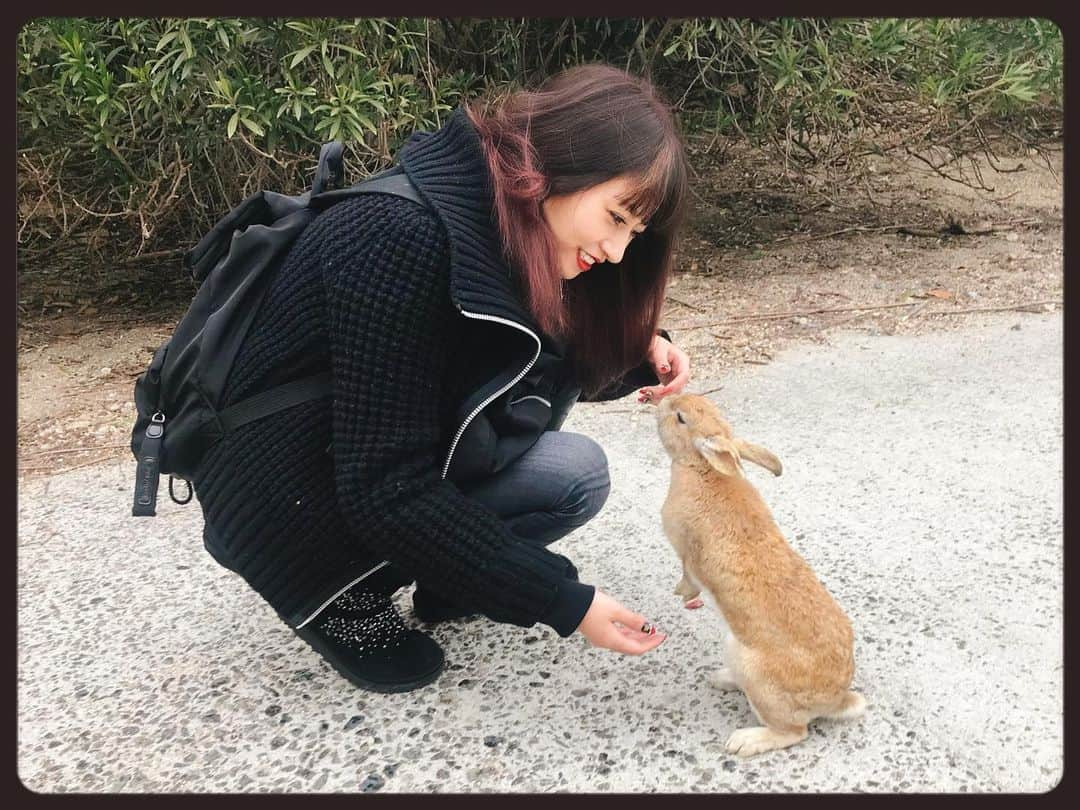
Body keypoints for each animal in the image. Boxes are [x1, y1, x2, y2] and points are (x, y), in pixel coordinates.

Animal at [652, 393, 864, 760]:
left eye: (680, 417)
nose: (663, 401)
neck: (701, 468)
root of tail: (836, 700)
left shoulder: (686, 553)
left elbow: (688, 574)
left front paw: (682, 593)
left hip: (755, 674)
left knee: (794, 732)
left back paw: (744, 741)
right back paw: (721, 679)